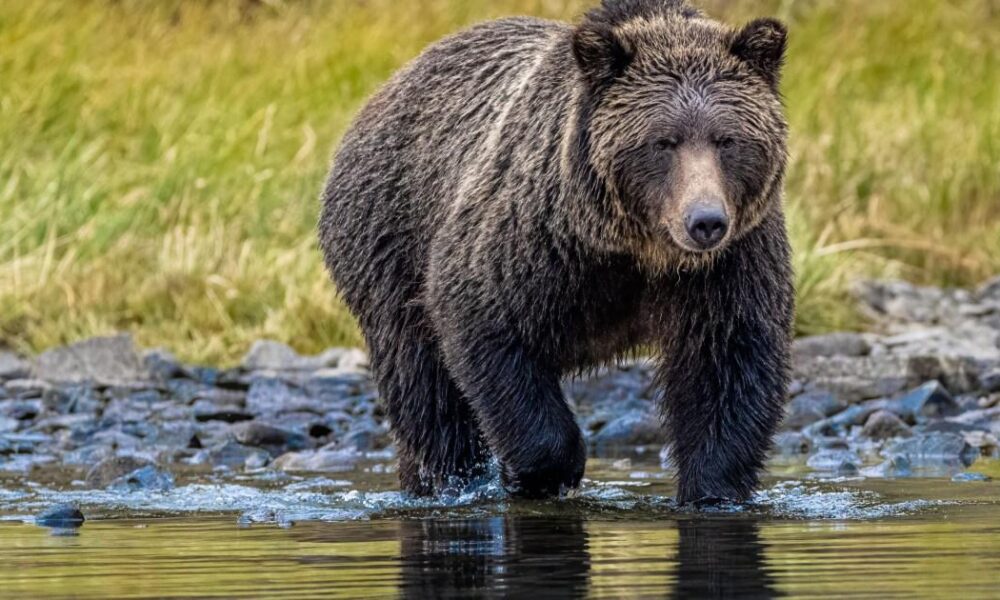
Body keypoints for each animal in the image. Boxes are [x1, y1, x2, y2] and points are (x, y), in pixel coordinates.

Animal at [319, 0, 793, 504]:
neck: (636, 250)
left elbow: (728, 366)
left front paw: (713, 489)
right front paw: (536, 473)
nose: (705, 221)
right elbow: (486, 323)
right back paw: (448, 480)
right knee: (424, 386)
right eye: (662, 142)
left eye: (727, 139)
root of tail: (385, 90)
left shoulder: (730, 264)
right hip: (389, 238)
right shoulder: (533, 240)